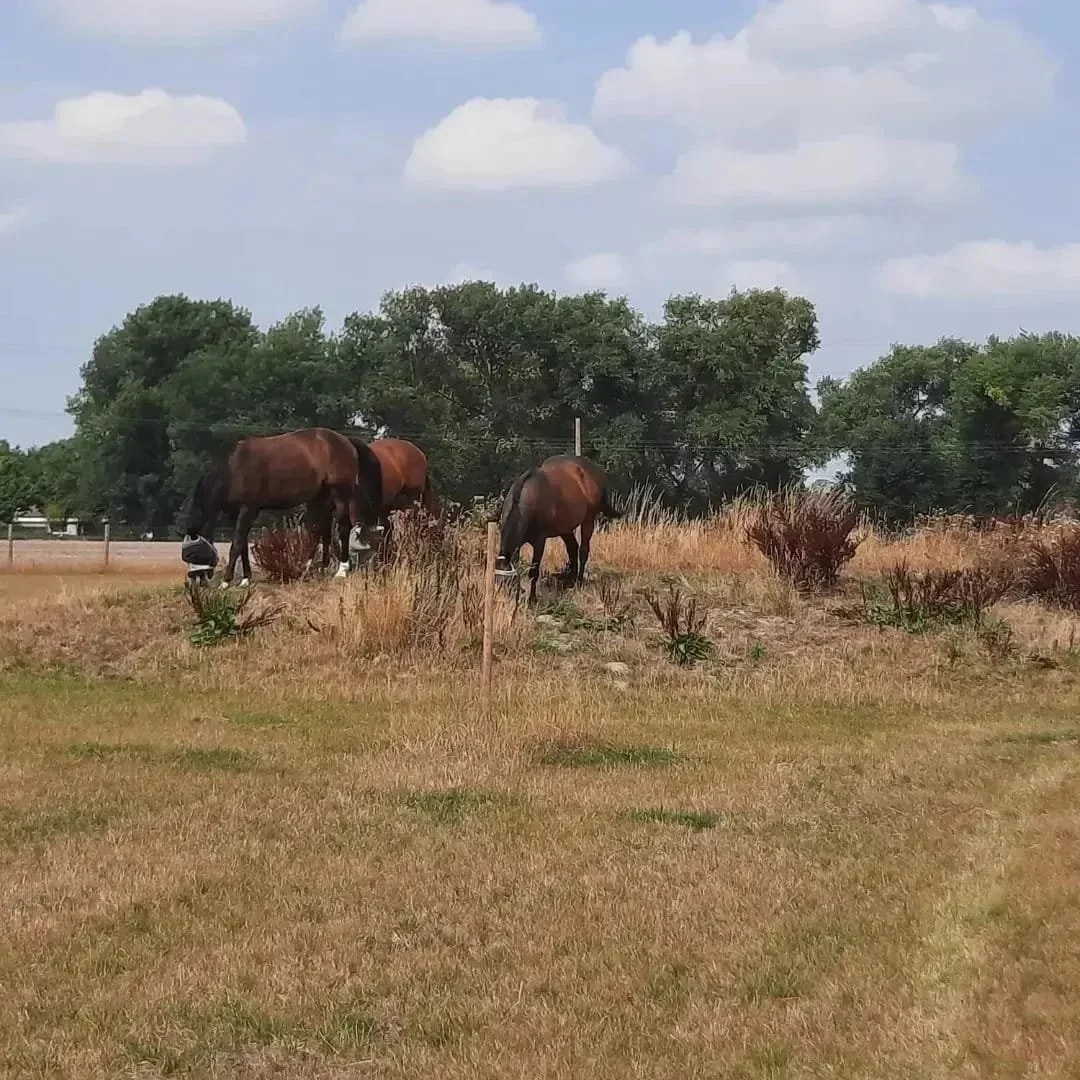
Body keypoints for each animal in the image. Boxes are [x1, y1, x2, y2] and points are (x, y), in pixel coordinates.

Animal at [184, 427, 381, 586]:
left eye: (193, 554)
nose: (197, 579)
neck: (236, 469)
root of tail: (345, 440)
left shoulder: (249, 509)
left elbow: (237, 544)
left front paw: (226, 581)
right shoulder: (235, 513)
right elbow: (243, 546)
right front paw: (245, 579)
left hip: (340, 494)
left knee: (343, 526)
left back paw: (341, 569)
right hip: (320, 497)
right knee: (321, 529)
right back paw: (312, 568)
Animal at [493, 454, 621, 604]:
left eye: (509, 583)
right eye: (497, 582)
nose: (502, 605)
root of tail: (593, 469)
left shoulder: (540, 541)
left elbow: (534, 571)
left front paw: (532, 599)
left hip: (588, 520)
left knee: (583, 550)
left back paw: (579, 581)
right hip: (565, 528)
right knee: (573, 548)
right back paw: (571, 581)